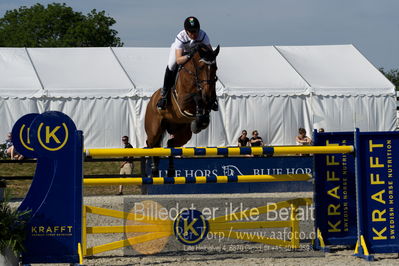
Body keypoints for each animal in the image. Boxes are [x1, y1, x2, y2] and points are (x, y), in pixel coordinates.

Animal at [145, 43, 220, 177]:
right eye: (201, 67)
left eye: (215, 68)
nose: (208, 95)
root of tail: (152, 100)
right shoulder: (182, 101)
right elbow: (196, 97)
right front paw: (199, 119)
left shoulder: (208, 102)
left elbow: (205, 108)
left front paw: (200, 122)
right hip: (154, 129)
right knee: (151, 144)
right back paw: (154, 171)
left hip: (183, 133)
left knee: (170, 144)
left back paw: (170, 171)